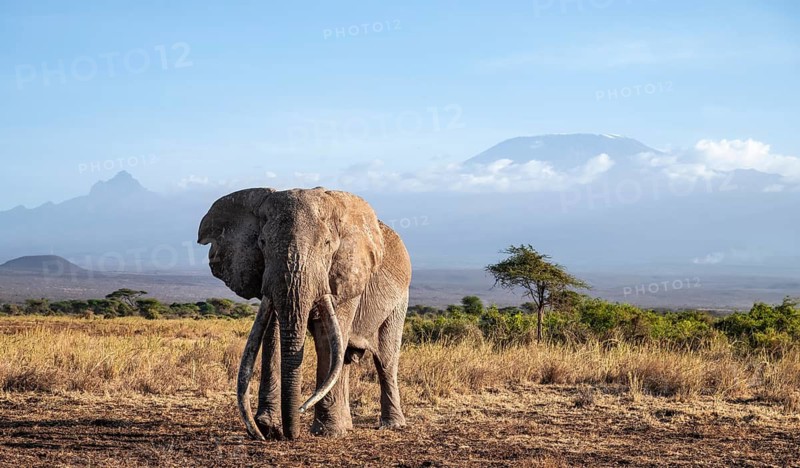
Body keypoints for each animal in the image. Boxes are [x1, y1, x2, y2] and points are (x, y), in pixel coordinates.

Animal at [197, 187, 411, 440]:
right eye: (262, 243)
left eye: (327, 244)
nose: (291, 433)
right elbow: (272, 331)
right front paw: (267, 427)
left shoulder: (347, 275)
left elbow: (327, 338)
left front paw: (328, 432)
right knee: (346, 359)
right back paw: (348, 425)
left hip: (400, 301)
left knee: (385, 359)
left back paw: (391, 425)